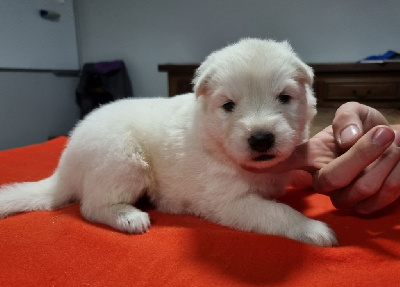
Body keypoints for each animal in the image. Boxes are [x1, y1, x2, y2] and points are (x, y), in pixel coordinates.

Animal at [0, 39, 338, 249]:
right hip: (122, 159)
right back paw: (129, 217)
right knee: (92, 207)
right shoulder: (229, 201)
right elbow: (278, 212)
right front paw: (314, 229)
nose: (261, 138)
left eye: (284, 97)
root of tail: (66, 164)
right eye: (228, 105)